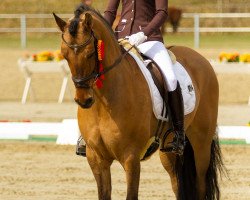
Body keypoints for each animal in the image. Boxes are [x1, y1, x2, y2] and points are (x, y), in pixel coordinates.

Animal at [53, 3, 224, 200]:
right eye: (64, 54)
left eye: (90, 53)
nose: (84, 100)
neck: (104, 104)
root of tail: (200, 58)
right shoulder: (96, 158)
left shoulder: (131, 158)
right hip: (169, 152)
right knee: (177, 184)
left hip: (201, 143)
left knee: (200, 184)